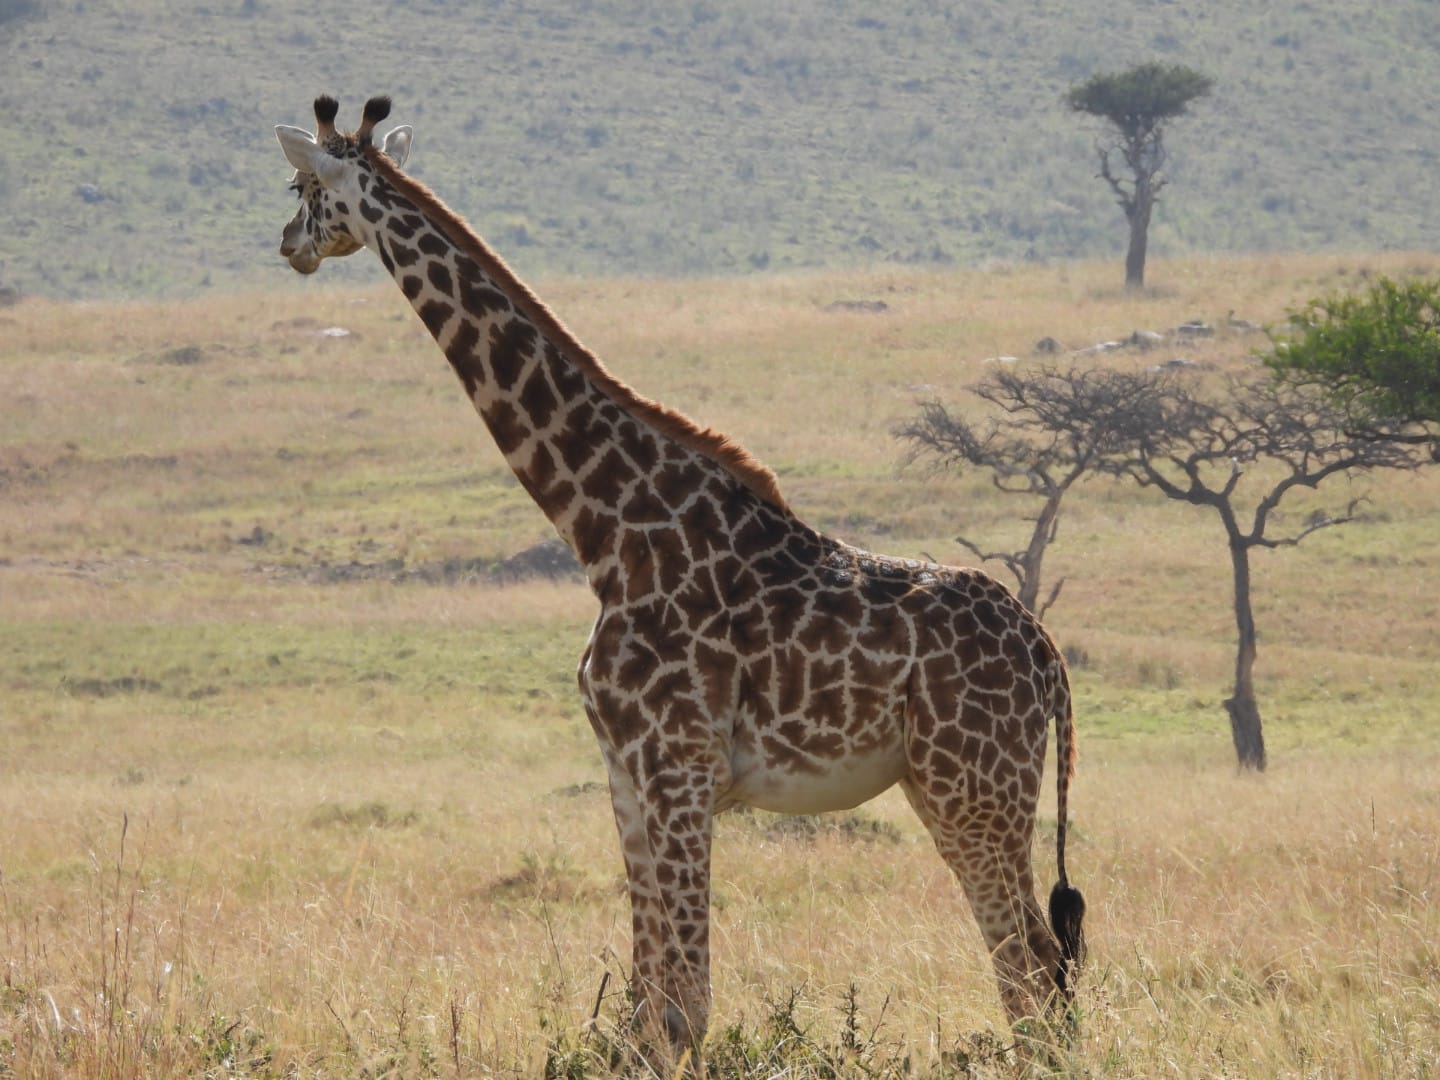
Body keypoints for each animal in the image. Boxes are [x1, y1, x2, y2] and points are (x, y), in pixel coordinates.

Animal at [274, 96, 1085, 1051]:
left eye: (301, 187)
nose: (287, 244)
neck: (608, 533)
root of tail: (1047, 656)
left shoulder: (679, 765)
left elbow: (685, 1006)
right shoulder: (626, 772)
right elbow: (643, 1005)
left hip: (973, 786)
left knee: (1032, 965)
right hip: (953, 786)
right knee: (1042, 965)